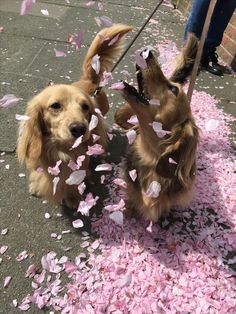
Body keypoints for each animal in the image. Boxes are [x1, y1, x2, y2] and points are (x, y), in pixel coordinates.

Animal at [18, 23, 133, 207]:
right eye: (55, 106)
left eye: (85, 107)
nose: (79, 129)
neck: (60, 150)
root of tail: (88, 80)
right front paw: (36, 186)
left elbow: (73, 182)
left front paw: (73, 197)